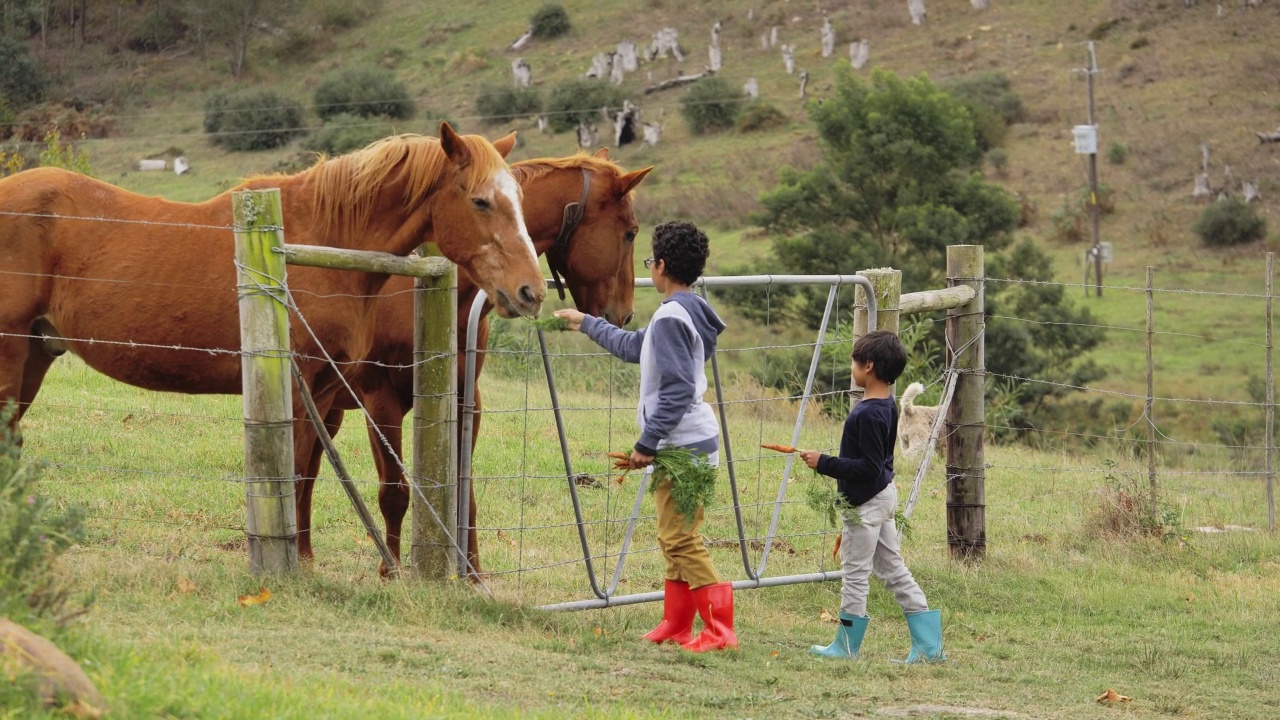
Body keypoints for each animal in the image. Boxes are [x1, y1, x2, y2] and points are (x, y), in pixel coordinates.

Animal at [0, 124, 545, 538]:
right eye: (481, 201)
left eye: (521, 198)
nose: (532, 291)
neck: (319, 242)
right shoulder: (307, 388)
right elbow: (297, 475)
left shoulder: (323, 393)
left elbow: (306, 477)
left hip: (36, 355)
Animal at [305, 148, 655, 573]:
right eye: (630, 232)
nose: (624, 314)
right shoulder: (381, 403)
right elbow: (394, 493)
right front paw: (391, 572)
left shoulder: (465, 399)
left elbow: (464, 491)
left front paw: (471, 572)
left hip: (327, 408)